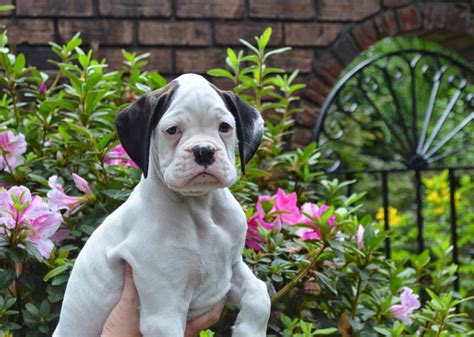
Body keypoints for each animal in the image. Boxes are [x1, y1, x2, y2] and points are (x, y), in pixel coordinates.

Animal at [52, 73, 270, 336]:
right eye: (172, 130)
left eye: (225, 127)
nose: (204, 151)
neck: (200, 207)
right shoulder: (164, 312)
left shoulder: (232, 266)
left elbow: (260, 293)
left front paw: (249, 330)